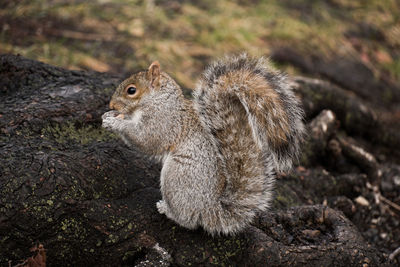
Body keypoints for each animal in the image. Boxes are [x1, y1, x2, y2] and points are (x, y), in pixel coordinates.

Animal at [101, 54, 304, 237]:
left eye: (131, 90)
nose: (111, 104)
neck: (159, 100)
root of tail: (211, 209)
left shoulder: (164, 121)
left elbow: (146, 139)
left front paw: (114, 122)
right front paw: (109, 115)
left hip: (177, 176)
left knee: (188, 220)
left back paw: (167, 210)